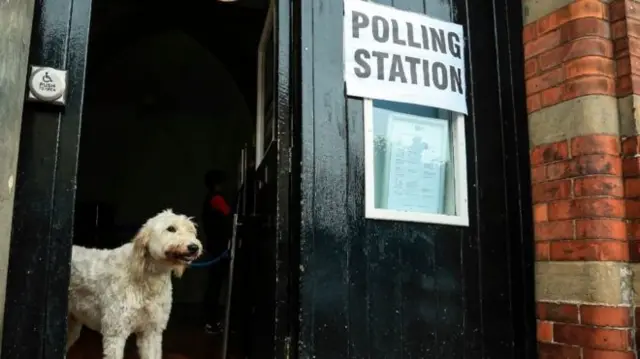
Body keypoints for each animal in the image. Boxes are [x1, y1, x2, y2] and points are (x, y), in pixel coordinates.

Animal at [66, 210, 201, 358]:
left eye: (191, 230)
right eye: (171, 228)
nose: (194, 247)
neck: (150, 278)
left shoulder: (151, 332)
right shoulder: (115, 332)